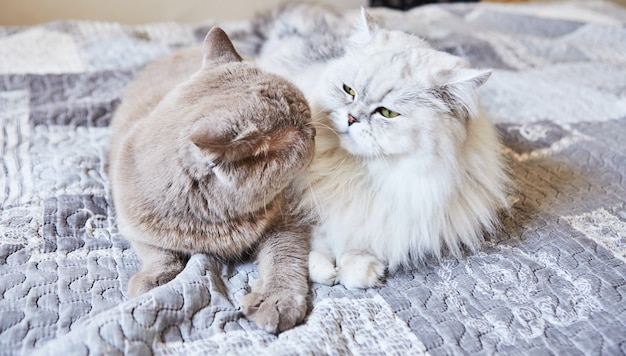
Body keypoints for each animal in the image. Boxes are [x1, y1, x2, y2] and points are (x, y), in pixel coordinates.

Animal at [107, 27, 314, 334]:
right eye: (300, 136)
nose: (314, 132)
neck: (212, 220)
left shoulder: (287, 219)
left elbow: (283, 258)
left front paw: (277, 301)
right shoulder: (132, 223)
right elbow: (158, 253)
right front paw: (154, 278)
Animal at [258, 8, 508, 290]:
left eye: (387, 113)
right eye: (349, 91)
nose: (351, 118)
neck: (364, 172)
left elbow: (362, 244)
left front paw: (356, 270)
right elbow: (320, 233)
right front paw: (324, 269)